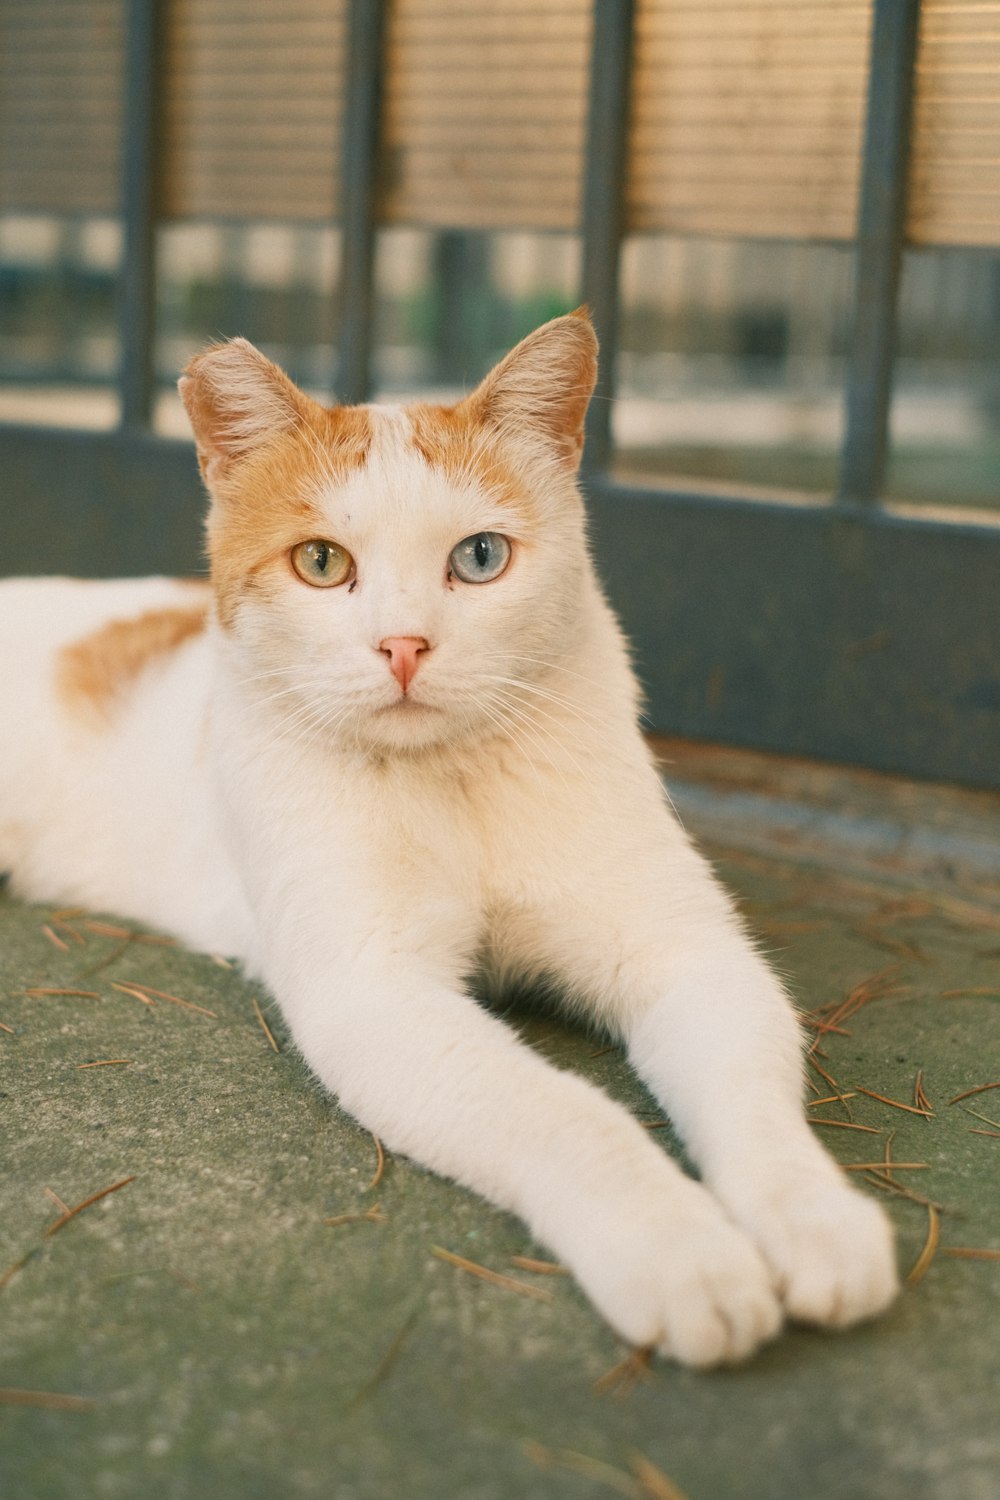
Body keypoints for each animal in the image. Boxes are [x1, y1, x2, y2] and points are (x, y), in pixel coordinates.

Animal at [0, 316, 893, 1374]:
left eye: (479, 557)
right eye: (319, 563)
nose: (404, 646)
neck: (454, 784)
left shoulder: (687, 953)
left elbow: (753, 1103)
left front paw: (816, 1220)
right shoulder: (376, 993)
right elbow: (565, 1115)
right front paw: (682, 1253)